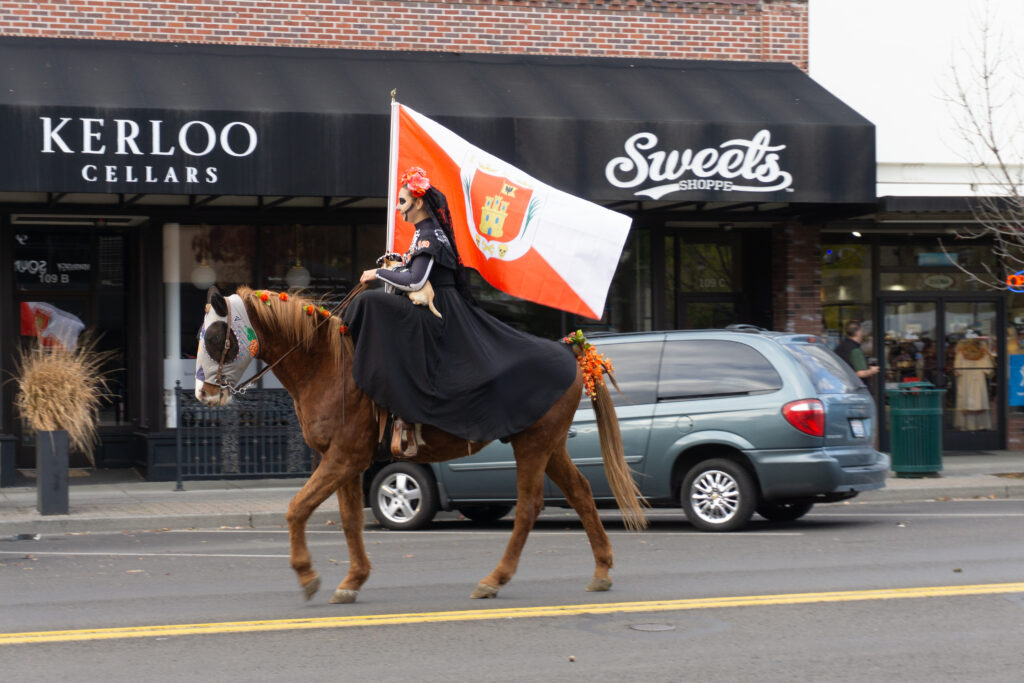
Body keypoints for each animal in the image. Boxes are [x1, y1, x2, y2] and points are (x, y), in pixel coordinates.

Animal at [194, 284, 643, 602]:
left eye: (215, 336)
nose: (202, 393)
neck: (327, 366)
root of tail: (572, 351)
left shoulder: (343, 458)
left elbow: (296, 508)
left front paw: (307, 575)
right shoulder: (345, 462)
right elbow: (350, 519)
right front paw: (353, 579)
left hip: (533, 446)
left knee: (529, 507)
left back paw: (494, 579)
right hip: (550, 446)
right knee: (581, 493)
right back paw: (601, 571)